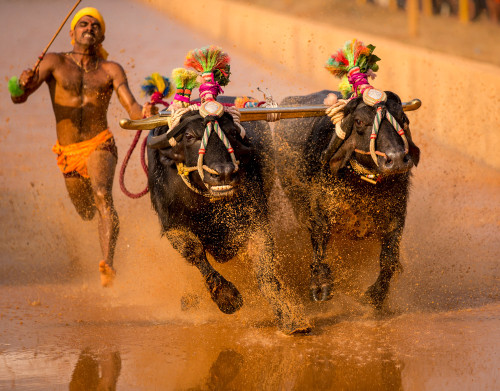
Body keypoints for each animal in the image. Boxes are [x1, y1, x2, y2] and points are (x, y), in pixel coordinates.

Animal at [145, 101, 308, 334]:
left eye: (232, 133)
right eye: (189, 136)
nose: (223, 173)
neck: (207, 203)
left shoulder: (255, 219)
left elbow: (264, 267)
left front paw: (290, 317)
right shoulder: (172, 225)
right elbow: (194, 251)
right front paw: (227, 297)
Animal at [276, 89, 420, 310]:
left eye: (402, 117)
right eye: (359, 121)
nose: (396, 159)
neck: (362, 184)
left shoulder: (396, 213)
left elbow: (389, 258)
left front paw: (376, 295)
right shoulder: (319, 211)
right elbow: (320, 244)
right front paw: (320, 284)